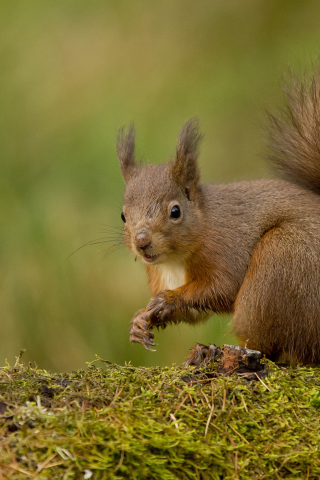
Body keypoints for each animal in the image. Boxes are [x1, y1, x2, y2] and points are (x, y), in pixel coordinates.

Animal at [116, 68, 320, 364]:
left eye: (175, 211)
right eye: (123, 215)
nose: (141, 242)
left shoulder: (226, 248)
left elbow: (222, 288)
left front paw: (168, 300)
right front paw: (140, 321)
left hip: (281, 263)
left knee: (269, 346)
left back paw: (218, 350)